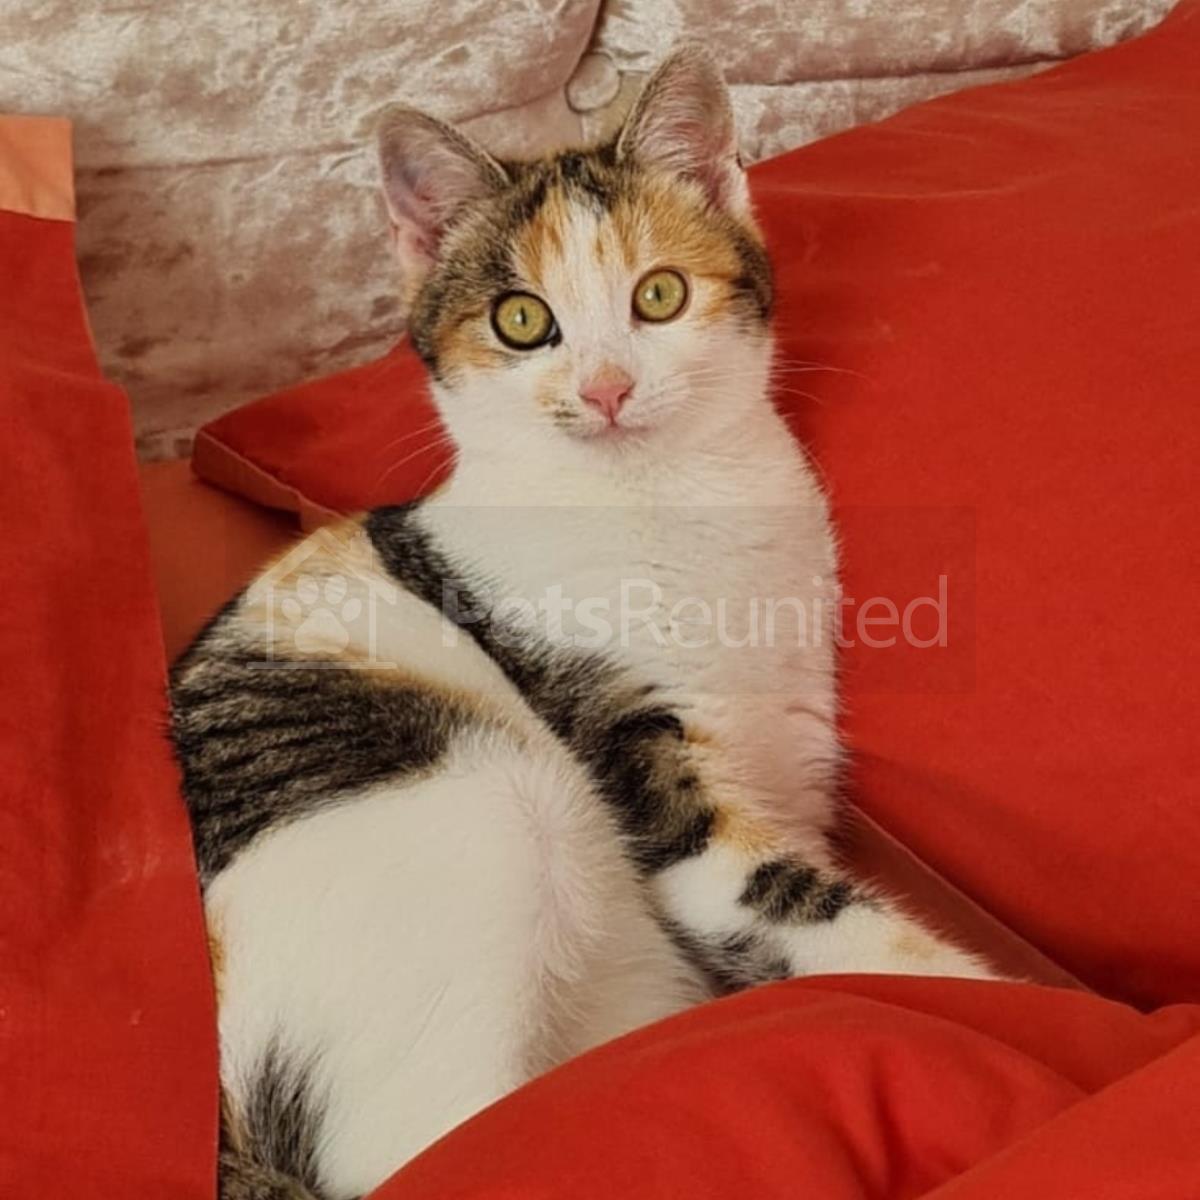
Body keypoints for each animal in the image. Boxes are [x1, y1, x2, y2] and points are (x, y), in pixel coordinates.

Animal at [171, 45, 994, 1200]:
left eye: (660, 295)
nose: (606, 389)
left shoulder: (788, 747)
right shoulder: (651, 776)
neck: (657, 500)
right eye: (522, 320)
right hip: (486, 798)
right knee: (440, 1145)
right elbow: (821, 913)